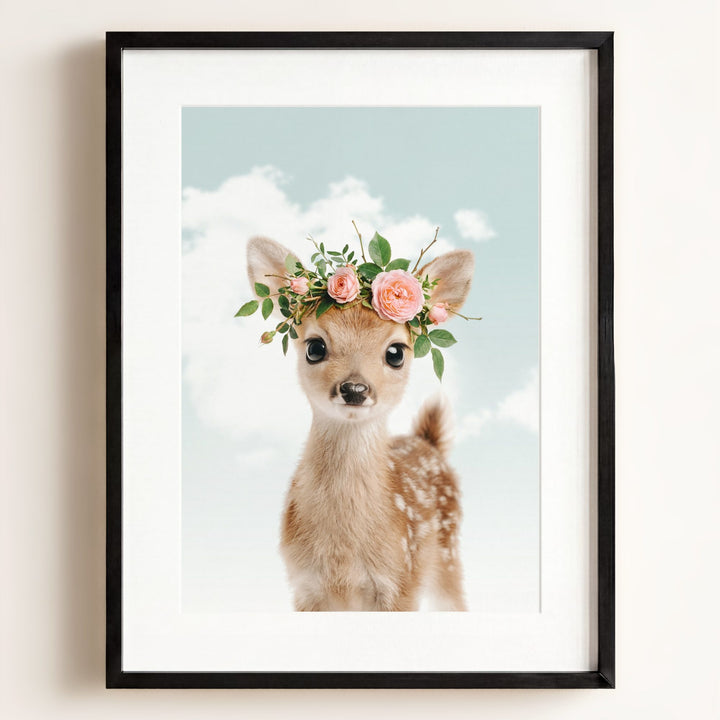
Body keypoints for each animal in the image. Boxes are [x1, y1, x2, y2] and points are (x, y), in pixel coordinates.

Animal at [247, 235, 475, 611]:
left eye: (396, 352)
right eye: (315, 347)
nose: (354, 389)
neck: (342, 555)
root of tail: (428, 442)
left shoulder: (401, 582)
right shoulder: (304, 585)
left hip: (448, 553)